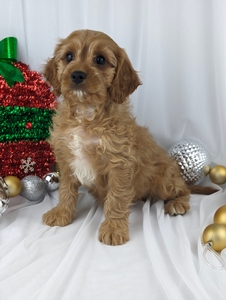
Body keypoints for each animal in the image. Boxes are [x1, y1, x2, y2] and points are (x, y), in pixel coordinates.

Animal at [42, 29, 215, 246]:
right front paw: (62, 213)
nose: (77, 75)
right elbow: (66, 190)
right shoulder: (66, 159)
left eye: (100, 59)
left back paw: (177, 203)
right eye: (69, 56)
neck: (86, 114)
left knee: (182, 188)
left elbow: (116, 198)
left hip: (164, 180)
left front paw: (114, 229)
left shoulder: (119, 164)